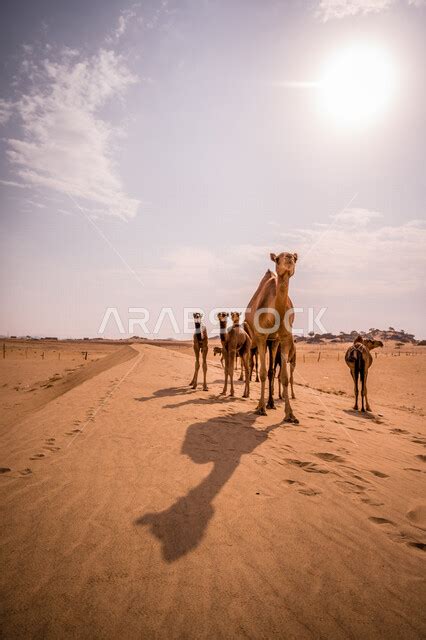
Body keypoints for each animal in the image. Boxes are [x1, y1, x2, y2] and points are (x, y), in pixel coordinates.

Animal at [245, 252, 298, 422]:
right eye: (278, 258)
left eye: (295, 258)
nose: (289, 258)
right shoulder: (261, 337)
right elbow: (261, 373)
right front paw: (261, 408)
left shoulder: (284, 338)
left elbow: (284, 376)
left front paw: (290, 414)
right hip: (256, 340)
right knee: (255, 366)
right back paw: (255, 401)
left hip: (273, 342)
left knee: (271, 371)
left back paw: (271, 403)